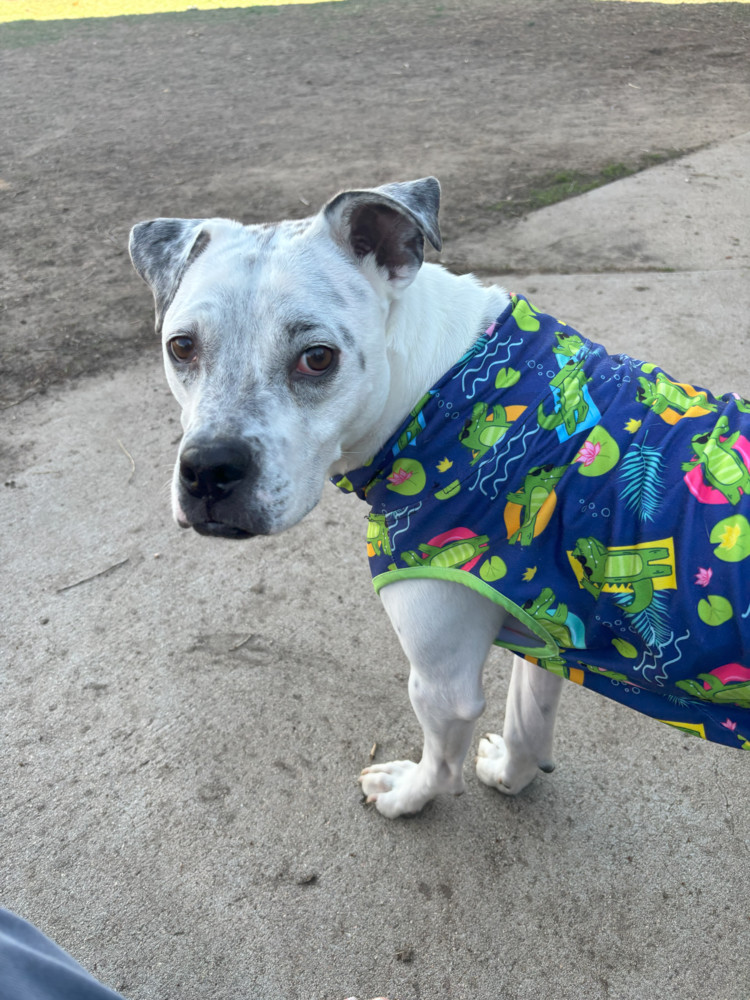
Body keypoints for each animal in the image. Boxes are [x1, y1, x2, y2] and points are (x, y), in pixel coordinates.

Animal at [129, 178, 750, 820]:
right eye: (181, 347)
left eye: (318, 357)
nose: (208, 469)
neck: (452, 392)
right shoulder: (550, 628)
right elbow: (530, 717)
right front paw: (511, 774)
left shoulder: (443, 683)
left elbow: (442, 764)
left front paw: (408, 795)